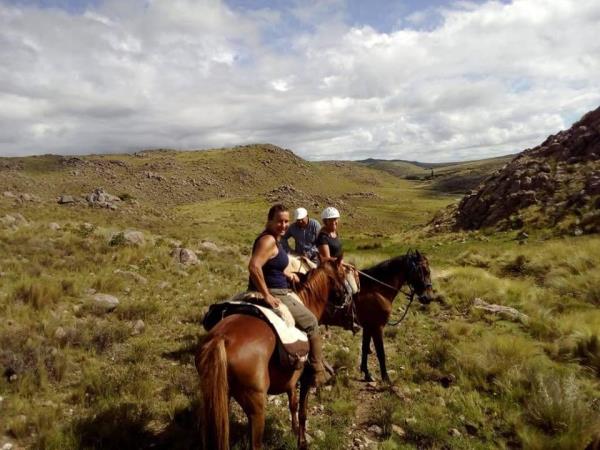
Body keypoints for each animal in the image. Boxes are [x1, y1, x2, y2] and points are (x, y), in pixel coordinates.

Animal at [195, 258, 358, 450]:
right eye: (342, 274)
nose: (357, 323)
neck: (306, 301)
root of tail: (221, 338)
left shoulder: (291, 380)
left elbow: (293, 404)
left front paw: (294, 431)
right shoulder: (305, 378)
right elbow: (302, 411)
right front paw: (302, 441)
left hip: (219, 401)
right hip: (256, 407)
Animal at [354, 250, 434, 384]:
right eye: (425, 270)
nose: (428, 298)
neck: (376, 291)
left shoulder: (368, 327)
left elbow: (365, 348)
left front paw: (367, 373)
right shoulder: (377, 327)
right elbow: (381, 353)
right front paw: (386, 378)